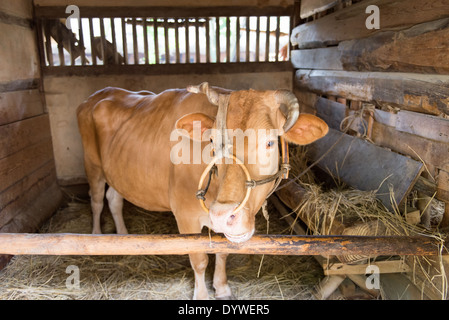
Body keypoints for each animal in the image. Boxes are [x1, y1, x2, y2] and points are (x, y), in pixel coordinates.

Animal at [76, 83, 328, 300]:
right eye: (212, 141)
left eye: (270, 142)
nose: (225, 215)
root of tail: (98, 95)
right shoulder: (185, 217)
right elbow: (199, 259)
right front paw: (202, 295)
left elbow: (223, 252)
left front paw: (222, 288)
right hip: (92, 165)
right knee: (97, 200)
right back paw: (97, 238)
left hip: (116, 171)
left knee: (114, 199)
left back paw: (122, 236)